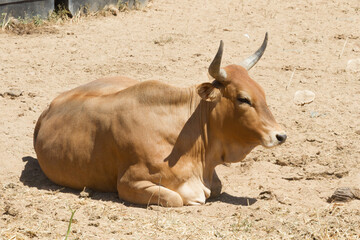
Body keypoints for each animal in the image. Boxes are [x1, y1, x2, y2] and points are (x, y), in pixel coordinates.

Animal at [33, 33, 286, 206]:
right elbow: (176, 198)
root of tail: (50, 106)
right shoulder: (128, 184)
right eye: (243, 99)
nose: (280, 135)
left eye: (262, 93)